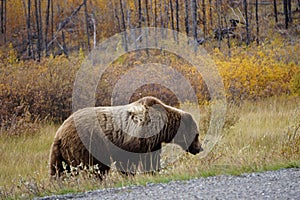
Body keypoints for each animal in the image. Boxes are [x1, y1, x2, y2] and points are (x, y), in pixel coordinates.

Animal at [49, 96, 203, 177]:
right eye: (197, 134)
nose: (200, 148)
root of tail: (59, 132)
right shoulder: (135, 138)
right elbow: (128, 160)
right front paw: (129, 174)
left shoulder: (153, 142)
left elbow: (152, 159)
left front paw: (154, 171)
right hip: (86, 144)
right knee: (92, 167)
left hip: (62, 152)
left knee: (58, 169)